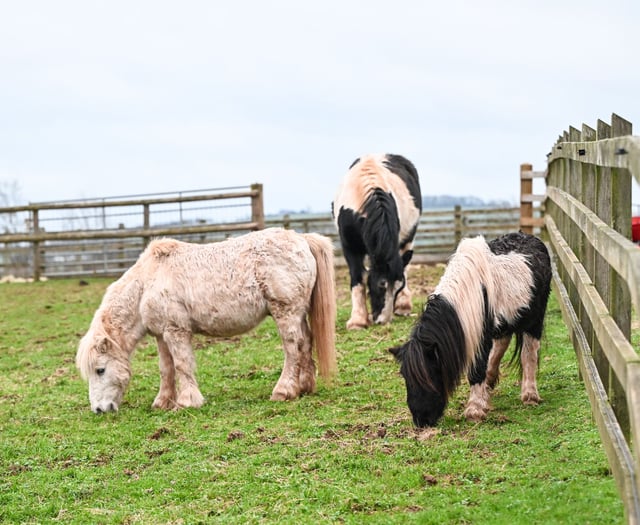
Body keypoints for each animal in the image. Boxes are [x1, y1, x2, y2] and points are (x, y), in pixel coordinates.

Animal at [76, 228, 337, 414]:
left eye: (100, 370)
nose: (99, 409)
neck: (147, 283)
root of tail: (302, 239)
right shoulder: (161, 335)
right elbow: (166, 369)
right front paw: (162, 402)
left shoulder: (176, 331)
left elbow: (182, 364)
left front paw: (187, 402)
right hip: (298, 313)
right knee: (306, 343)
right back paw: (304, 387)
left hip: (286, 312)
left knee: (293, 348)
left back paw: (284, 391)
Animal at [332, 153, 422, 329]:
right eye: (381, 284)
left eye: (398, 288)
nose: (382, 321)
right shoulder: (349, 247)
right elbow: (358, 278)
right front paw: (358, 321)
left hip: (408, 239)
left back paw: (403, 306)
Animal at [390, 231, 552, 427]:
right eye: (404, 377)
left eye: (430, 375)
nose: (421, 420)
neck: (469, 289)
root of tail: (532, 238)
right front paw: (482, 398)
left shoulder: (481, 337)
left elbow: (476, 370)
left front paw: (475, 410)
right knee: (502, 343)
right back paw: (490, 382)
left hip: (535, 320)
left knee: (529, 353)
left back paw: (529, 395)